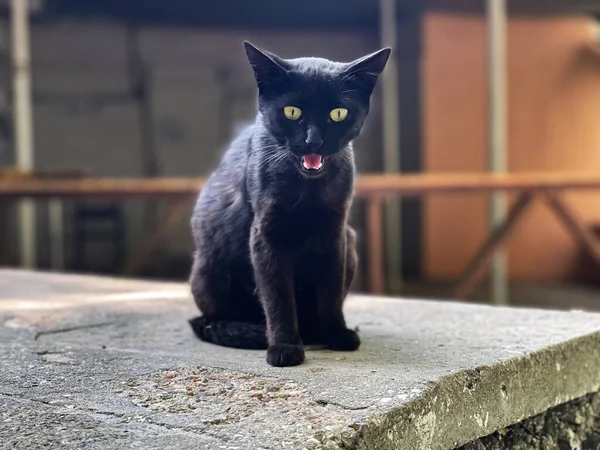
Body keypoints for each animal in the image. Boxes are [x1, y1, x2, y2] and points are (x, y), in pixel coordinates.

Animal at [190, 41, 392, 366]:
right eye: (292, 111)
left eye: (339, 113)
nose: (313, 140)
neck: (307, 189)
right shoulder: (266, 236)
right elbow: (278, 296)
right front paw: (284, 347)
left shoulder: (334, 233)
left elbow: (330, 289)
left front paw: (336, 333)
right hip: (208, 269)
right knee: (208, 321)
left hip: (350, 241)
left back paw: (314, 331)